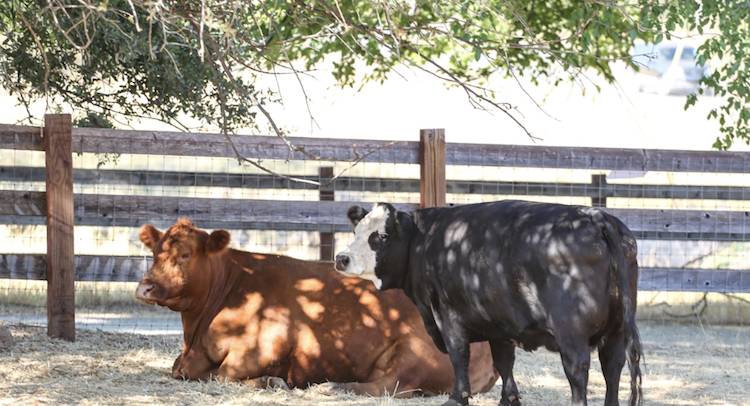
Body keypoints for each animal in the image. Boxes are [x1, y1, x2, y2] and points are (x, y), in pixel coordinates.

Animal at [134, 218, 499, 397]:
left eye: (185, 255)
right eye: (155, 252)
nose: (145, 287)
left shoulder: (266, 345)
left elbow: (222, 374)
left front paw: (272, 382)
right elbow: (180, 369)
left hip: (415, 352)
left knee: (389, 386)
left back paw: (330, 386)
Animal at [335, 201, 643, 406]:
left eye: (381, 236)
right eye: (356, 233)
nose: (341, 258)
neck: (426, 242)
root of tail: (594, 215)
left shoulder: (448, 317)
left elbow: (459, 357)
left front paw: (457, 398)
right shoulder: (498, 325)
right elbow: (504, 362)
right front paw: (509, 399)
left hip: (572, 333)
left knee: (578, 370)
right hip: (616, 331)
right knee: (612, 366)